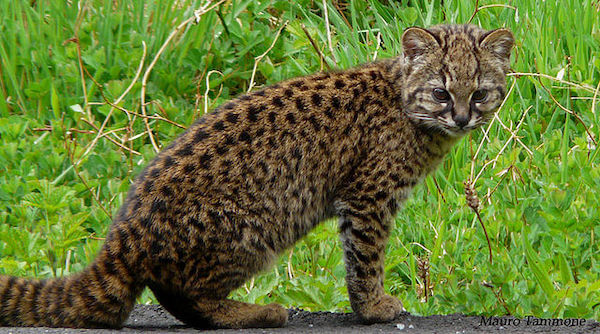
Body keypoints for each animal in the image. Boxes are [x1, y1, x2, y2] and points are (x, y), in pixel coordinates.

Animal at [1, 24, 516, 328]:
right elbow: (365, 259)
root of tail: (123, 233)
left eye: (480, 92)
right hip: (258, 225)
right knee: (189, 296)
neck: (406, 105)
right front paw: (372, 308)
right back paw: (257, 312)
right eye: (441, 92)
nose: (464, 118)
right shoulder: (368, 197)